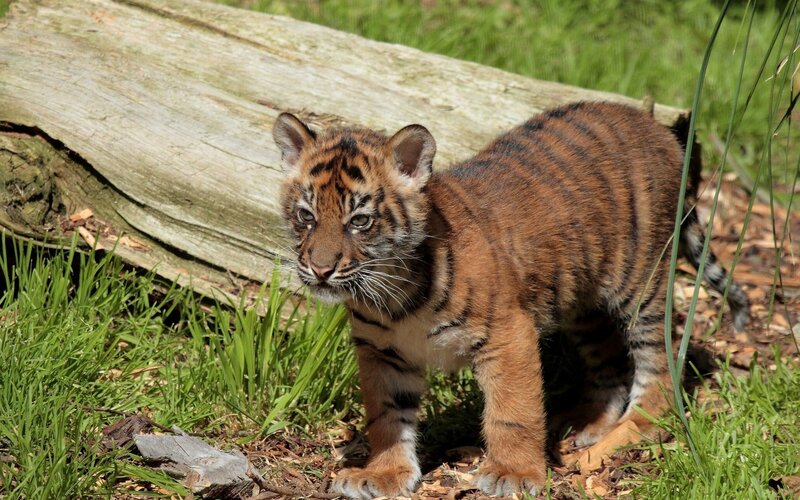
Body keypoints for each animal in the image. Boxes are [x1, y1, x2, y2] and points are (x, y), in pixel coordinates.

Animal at [272, 101, 749, 498]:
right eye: (306, 216)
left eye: (360, 221)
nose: (320, 270)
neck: (395, 293)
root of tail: (653, 124)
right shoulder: (381, 351)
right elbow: (387, 416)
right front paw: (384, 474)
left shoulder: (508, 335)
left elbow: (512, 412)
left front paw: (513, 474)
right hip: (582, 300)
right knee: (610, 363)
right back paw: (584, 424)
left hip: (643, 283)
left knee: (662, 368)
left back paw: (619, 439)